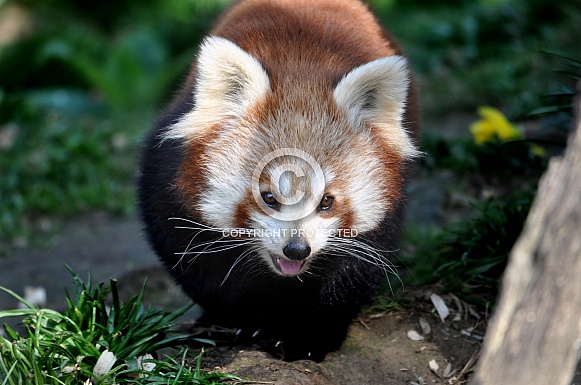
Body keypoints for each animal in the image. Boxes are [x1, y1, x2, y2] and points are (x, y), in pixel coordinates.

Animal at [137, 0, 416, 360]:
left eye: (326, 201)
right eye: (269, 197)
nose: (296, 249)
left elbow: (353, 272)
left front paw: (308, 335)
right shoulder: (167, 176)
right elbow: (196, 262)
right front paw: (243, 319)